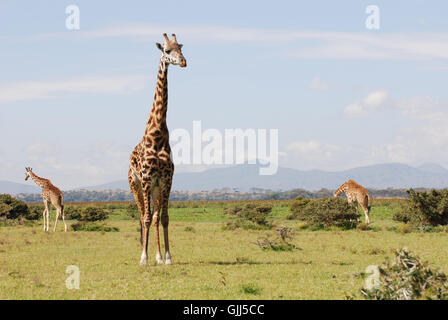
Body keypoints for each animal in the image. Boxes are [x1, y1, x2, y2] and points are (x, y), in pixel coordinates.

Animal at [128, 33, 187, 266]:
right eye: (167, 51)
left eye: (181, 48)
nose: (183, 62)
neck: (158, 134)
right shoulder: (146, 179)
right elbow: (145, 217)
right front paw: (144, 258)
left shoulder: (166, 180)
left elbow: (163, 218)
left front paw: (167, 257)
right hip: (135, 185)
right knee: (142, 214)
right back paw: (146, 254)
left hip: (155, 188)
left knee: (153, 216)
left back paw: (159, 256)